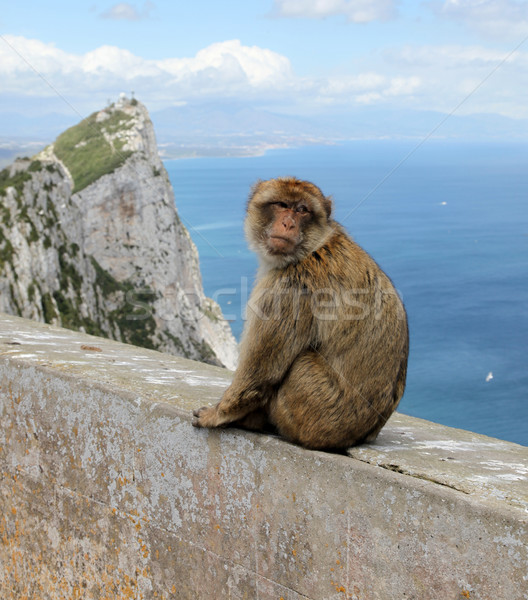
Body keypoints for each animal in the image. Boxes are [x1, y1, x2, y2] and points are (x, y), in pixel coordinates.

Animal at [193, 176, 408, 448]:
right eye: (282, 205)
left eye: (302, 210)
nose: (288, 223)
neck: (312, 248)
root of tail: (359, 436)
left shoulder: (289, 288)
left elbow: (259, 374)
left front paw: (219, 413)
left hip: (317, 411)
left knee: (300, 363)